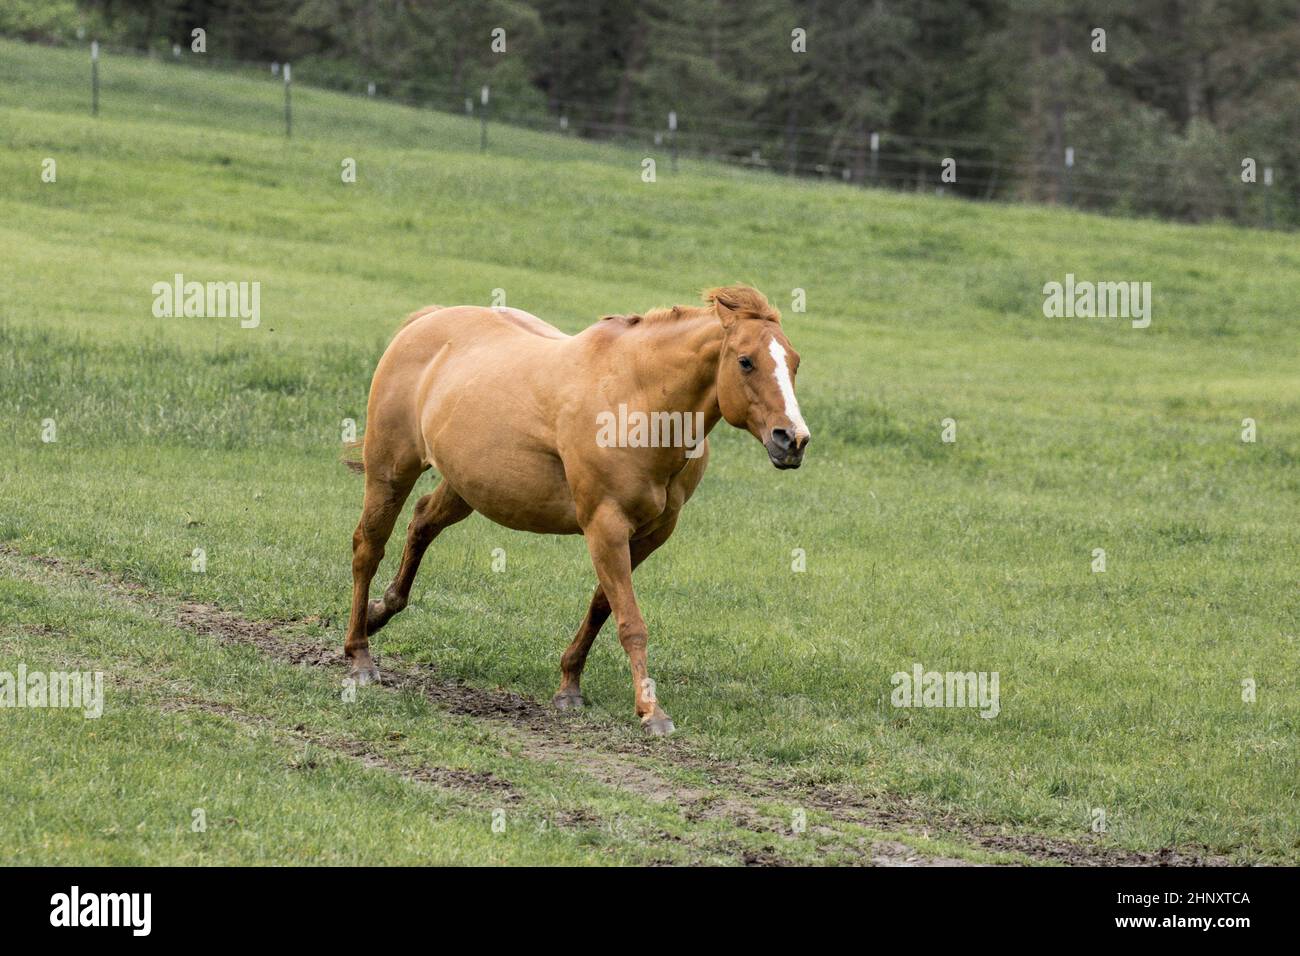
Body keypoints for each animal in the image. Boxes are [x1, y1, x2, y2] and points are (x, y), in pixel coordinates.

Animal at [343, 284, 810, 735]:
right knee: (368, 548)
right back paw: (359, 654)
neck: (638, 401)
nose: (793, 439)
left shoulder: (650, 534)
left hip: (465, 488)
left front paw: (569, 686)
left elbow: (603, 606)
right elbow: (630, 622)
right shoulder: (605, 525)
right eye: (746, 361)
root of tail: (426, 321)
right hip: (391, 471)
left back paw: (380, 612)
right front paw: (651, 711)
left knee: (421, 522)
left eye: (794, 362)